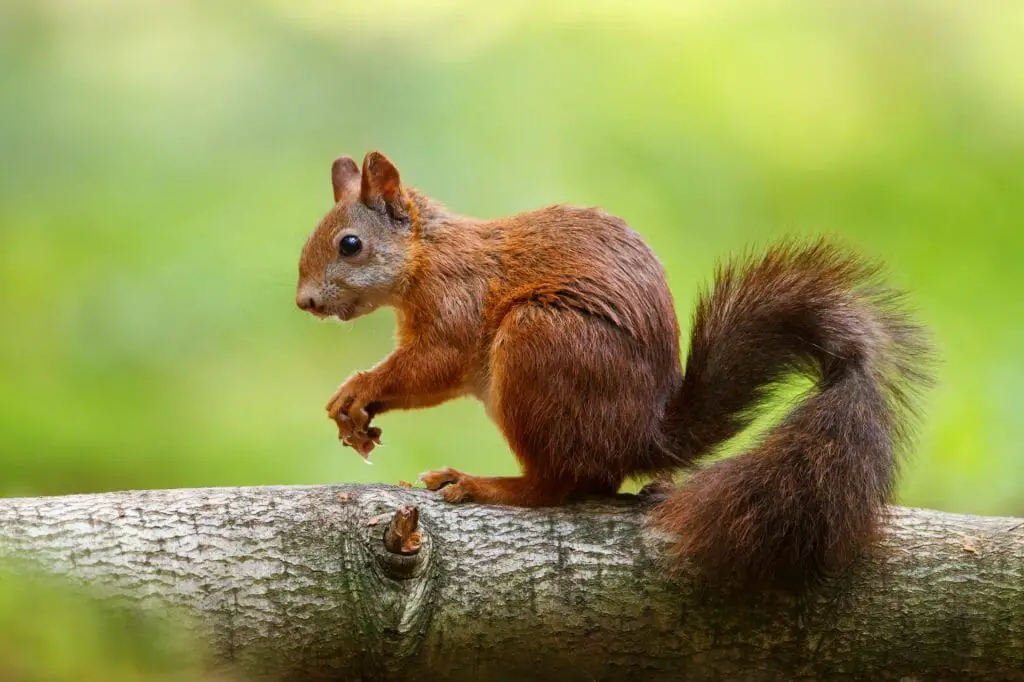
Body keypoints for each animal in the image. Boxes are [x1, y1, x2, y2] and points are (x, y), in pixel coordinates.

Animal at [292, 150, 933, 585]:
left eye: (350, 244)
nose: (305, 302)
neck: (427, 256)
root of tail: (641, 436)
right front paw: (356, 416)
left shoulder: (456, 305)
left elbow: (433, 366)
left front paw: (358, 390)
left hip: (540, 343)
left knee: (561, 485)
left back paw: (487, 484)